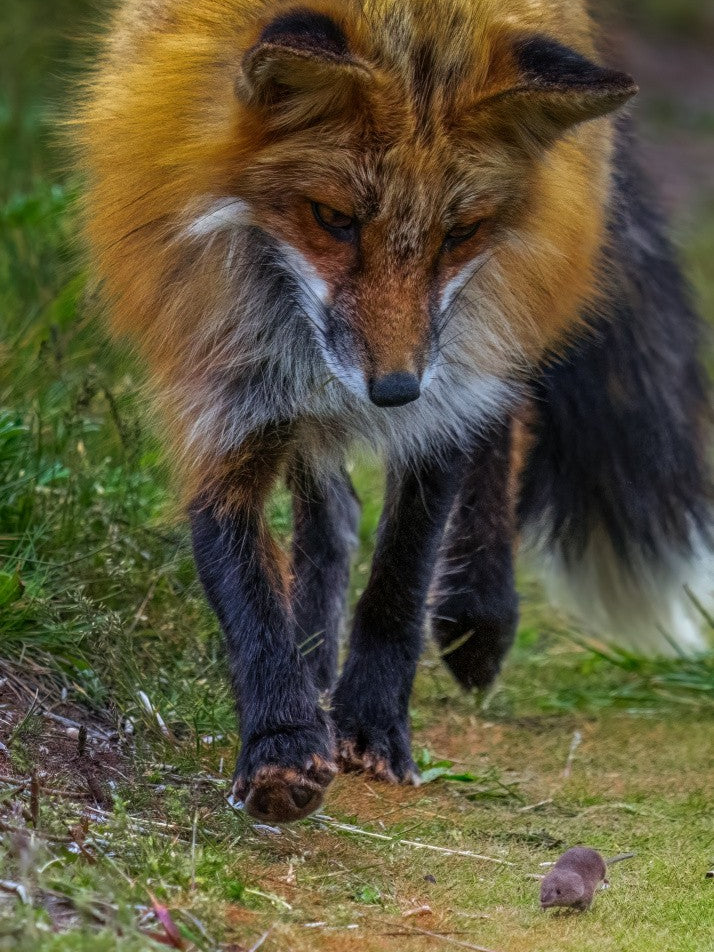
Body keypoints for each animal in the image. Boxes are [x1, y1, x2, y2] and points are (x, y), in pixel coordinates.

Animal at [77, 0, 712, 823]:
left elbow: (403, 576)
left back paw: (479, 614)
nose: (395, 391)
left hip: (503, 314)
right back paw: (316, 651)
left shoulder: (444, 391)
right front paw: (282, 738)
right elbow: (243, 583)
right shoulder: (221, 390)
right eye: (332, 218)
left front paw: (374, 722)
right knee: (334, 509)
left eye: (460, 233)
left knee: (502, 420)